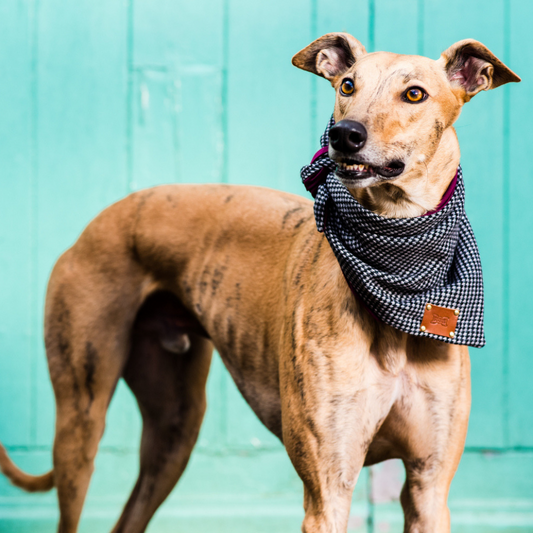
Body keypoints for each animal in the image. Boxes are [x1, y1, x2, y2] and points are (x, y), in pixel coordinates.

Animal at [0, 33, 516, 532]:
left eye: (414, 94)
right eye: (347, 85)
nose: (344, 134)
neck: (398, 273)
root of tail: (96, 223)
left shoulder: (429, 488)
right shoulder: (328, 491)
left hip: (173, 431)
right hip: (82, 416)